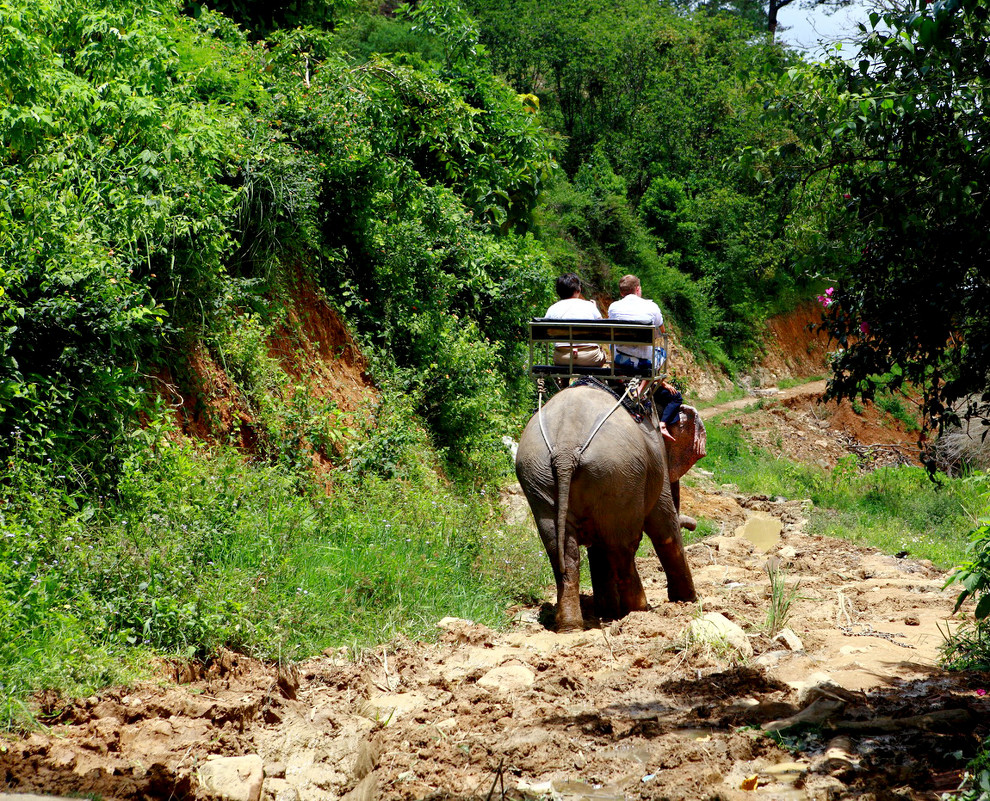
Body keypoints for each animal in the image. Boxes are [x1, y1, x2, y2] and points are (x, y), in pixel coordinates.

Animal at [520, 382, 704, 632]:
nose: (694, 525)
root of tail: (565, 450)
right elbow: (664, 528)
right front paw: (688, 600)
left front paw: (606, 612)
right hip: (618, 474)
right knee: (622, 546)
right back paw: (638, 609)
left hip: (541, 476)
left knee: (562, 549)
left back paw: (571, 626)